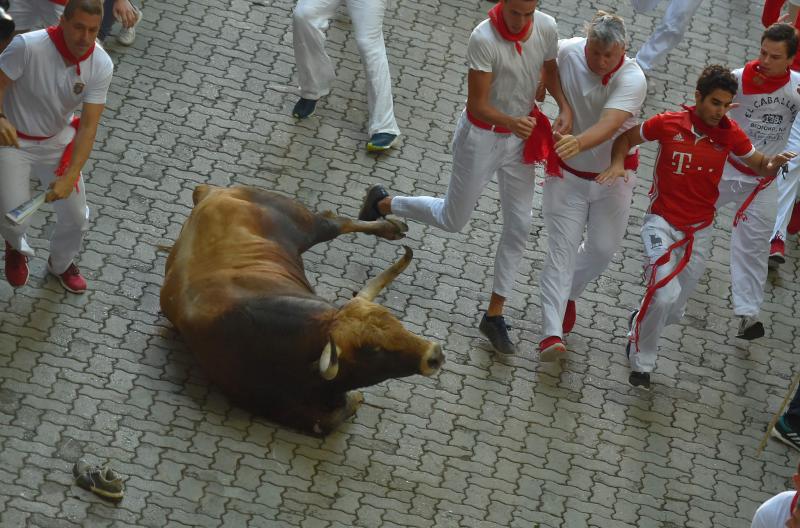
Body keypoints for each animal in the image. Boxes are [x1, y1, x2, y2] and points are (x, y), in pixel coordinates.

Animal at [159, 184, 440, 436]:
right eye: (373, 350)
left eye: (394, 320)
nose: (434, 354)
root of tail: (211, 195)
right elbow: (332, 418)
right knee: (337, 221)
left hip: (305, 224)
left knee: (337, 221)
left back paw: (390, 227)